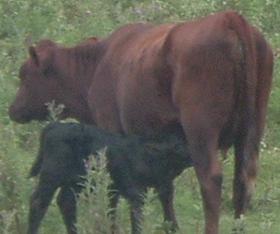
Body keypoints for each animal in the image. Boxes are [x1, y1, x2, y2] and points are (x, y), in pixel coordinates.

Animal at [9, 11, 274, 234]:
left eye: (24, 74)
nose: (12, 110)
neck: (98, 62)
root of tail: (228, 18)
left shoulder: (110, 131)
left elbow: (112, 189)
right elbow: (165, 189)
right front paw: (170, 226)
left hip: (201, 133)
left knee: (210, 180)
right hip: (250, 133)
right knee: (242, 182)